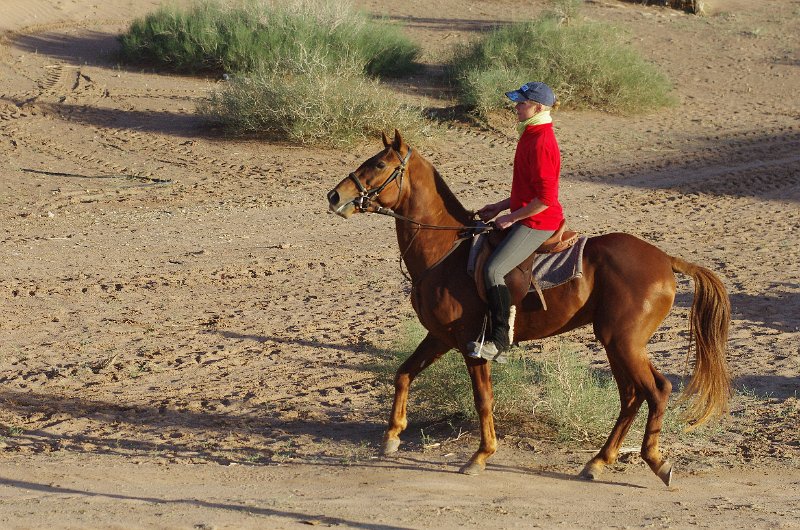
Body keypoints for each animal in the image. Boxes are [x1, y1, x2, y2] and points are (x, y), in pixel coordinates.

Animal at [326, 131, 732, 482]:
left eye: (379, 164)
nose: (333, 195)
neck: (447, 252)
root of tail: (664, 259)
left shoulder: (472, 345)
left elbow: (482, 399)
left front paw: (480, 455)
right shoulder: (439, 337)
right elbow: (403, 374)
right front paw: (392, 436)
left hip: (623, 343)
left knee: (656, 391)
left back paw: (655, 461)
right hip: (617, 343)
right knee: (632, 396)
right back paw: (598, 462)